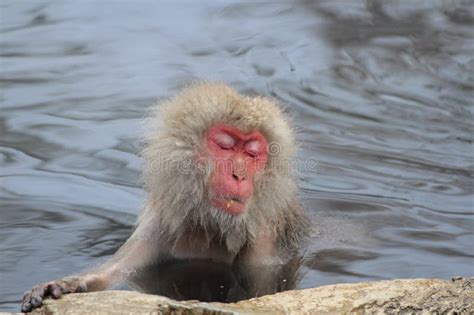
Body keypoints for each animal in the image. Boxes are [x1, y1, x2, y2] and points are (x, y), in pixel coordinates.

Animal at [21, 82, 312, 312]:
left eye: (252, 154)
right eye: (225, 146)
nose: (239, 175)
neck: (212, 224)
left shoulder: (265, 236)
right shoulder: (160, 221)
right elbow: (116, 271)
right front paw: (67, 284)